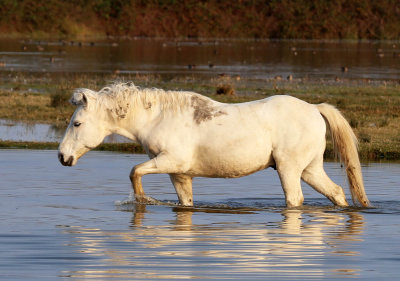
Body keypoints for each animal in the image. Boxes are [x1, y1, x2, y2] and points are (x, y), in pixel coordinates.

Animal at [57, 82, 370, 207]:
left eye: (77, 124)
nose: (62, 157)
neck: (159, 118)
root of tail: (315, 109)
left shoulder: (171, 161)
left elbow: (134, 171)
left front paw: (142, 201)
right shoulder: (179, 174)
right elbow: (185, 203)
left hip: (289, 169)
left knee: (295, 200)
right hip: (310, 169)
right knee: (337, 192)